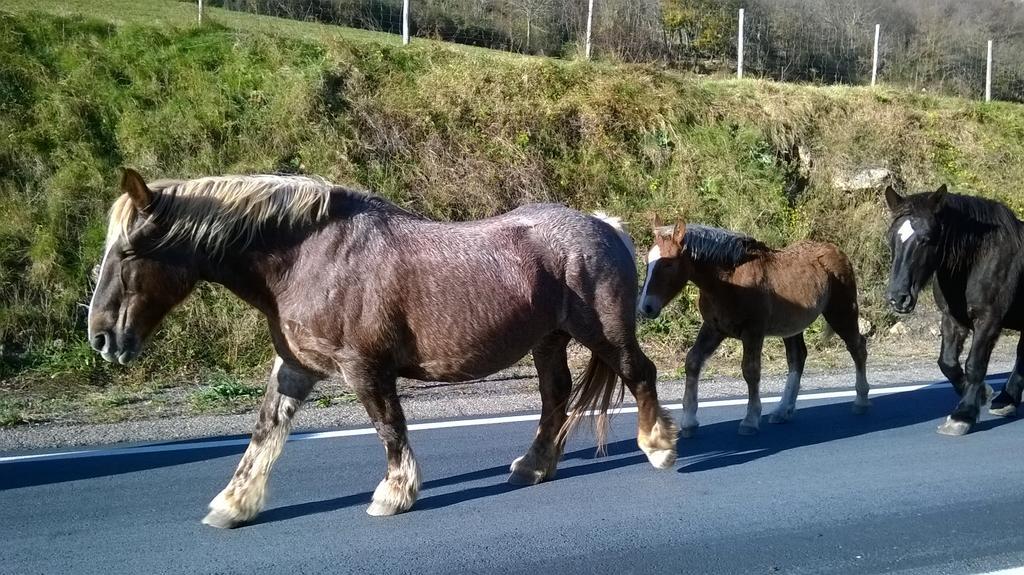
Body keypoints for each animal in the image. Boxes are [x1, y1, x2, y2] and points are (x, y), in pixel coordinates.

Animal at [90, 167, 679, 527]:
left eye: (128, 251)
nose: (101, 338)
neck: (307, 258)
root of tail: (604, 226)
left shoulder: (364, 368)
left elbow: (389, 427)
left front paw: (393, 494)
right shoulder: (296, 367)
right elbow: (264, 432)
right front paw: (233, 504)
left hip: (604, 332)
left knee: (640, 375)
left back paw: (659, 447)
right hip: (548, 341)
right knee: (555, 397)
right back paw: (534, 466)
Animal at [634, 216, 868, 435]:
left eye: (668, 263)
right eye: (647, 261)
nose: (645, 307)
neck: (727, 282)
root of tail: (836, 250)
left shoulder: (753, 332)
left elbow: (751, 371)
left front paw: (750, 420)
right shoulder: (714, 328)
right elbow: (692, 361)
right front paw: (689, 422)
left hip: (842, 312)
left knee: (857, 348)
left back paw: (861, 400)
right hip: (792, 327)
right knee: (797, 358)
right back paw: (782, 411)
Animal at [884, 184, 1019, 433]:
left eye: (926, 239)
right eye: (891, 239)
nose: (898, 298)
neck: (978, 259)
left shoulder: (988, 320)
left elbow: (975, 365)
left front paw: (962, 415)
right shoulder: (952, 318)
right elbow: (947, 363)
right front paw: (982, 394)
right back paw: (1006, 400)